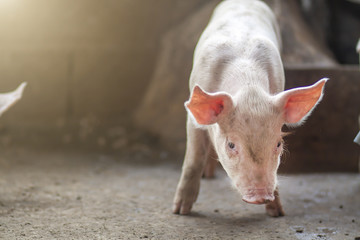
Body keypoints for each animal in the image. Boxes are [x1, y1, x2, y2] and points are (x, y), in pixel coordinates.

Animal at [173, 0, 328, 217]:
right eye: (231, 145)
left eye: (278, 144)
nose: (261, 196)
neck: (248, 88)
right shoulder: (193, 119)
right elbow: (193, 159)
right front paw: (180, 211)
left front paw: (277, 213)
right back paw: (206, 176)